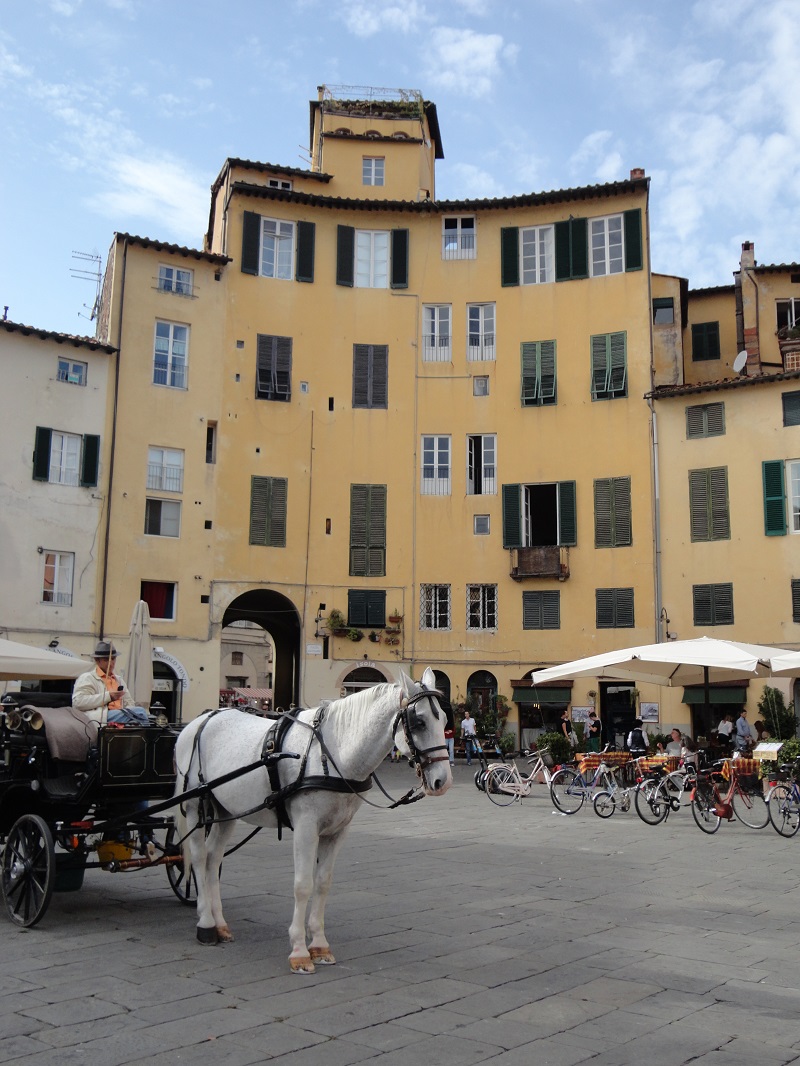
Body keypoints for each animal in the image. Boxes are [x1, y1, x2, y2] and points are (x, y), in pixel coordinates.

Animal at [173, 673, 452, 976]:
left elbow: (323, 883)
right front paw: (298, 951)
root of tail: (200, 720)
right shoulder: (306, 828)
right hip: (195, 804)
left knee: (214, 858)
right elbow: (303, 885)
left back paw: (220, 924)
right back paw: (206, 925)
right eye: (419, 722)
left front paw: (319, 945)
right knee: (199, 858)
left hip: (226, 809)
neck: (334, 753)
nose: (443, 782)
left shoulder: (338, 831)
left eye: (444, 722)